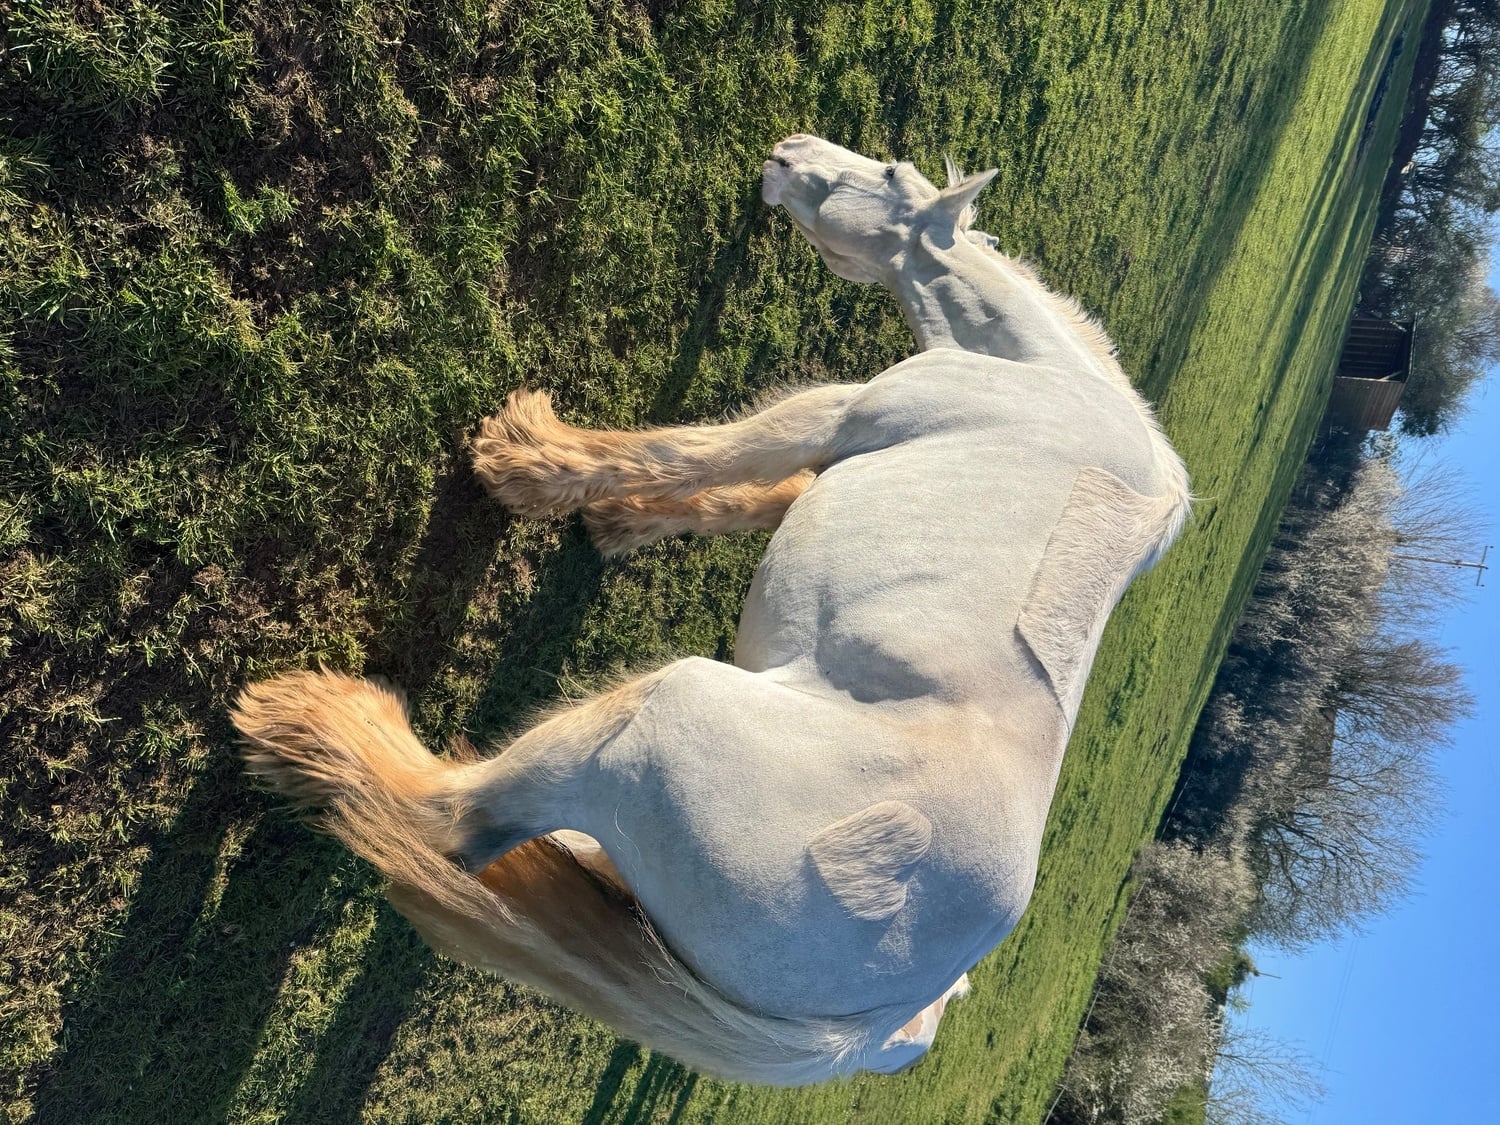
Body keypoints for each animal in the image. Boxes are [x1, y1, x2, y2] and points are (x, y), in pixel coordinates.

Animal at [231, 135, 1190, 1085]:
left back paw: (308, 722)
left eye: (887, 174)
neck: (1041, 376)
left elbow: (685, 451)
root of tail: (877, 1024)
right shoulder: (831, 447)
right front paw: (622, 523)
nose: (788, 150)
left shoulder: (834, 409)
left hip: (660, 706)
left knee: (449, 820)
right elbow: (746, 493)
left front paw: (526, 459)